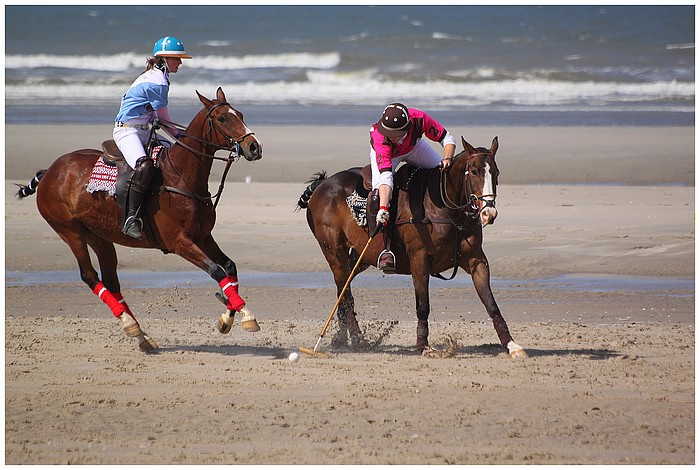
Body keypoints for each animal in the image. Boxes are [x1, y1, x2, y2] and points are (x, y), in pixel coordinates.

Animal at [16, 87, 262, 352]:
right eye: (222, 118)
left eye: (240, 114)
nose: (254, 147)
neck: (181, 177)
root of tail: (49, 172)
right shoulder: (179, 242)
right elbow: (217, 271)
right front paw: (243, 315)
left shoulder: (203, 236)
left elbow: (229, 267)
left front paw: (230, 317)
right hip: (70, 231)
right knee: (90, 276)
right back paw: (130, 325)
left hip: (99, 236)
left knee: (111, 281)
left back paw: (139, 332)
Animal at [296, 138, 524, 358]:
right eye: (474, 171)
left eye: (496, 173)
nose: (488, 214)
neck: (444, 207)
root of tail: (323, 184)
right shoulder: (419, 260)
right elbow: (422, 305)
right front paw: (424, 346)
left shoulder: (477, 260)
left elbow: (491, 304)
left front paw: (511, 345)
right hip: (334, 251)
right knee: (345, 292)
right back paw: (357, 338)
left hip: (361, 256)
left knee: (343, 290)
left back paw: (344, 337)